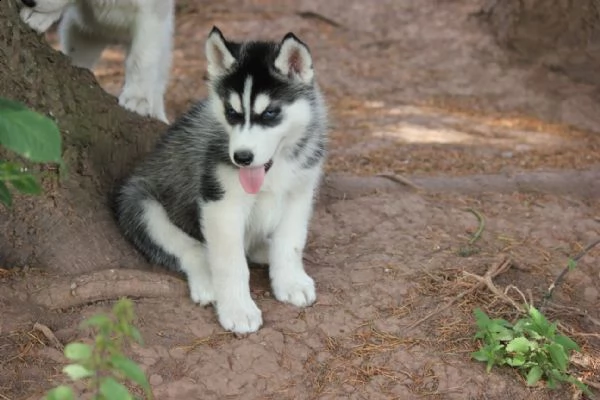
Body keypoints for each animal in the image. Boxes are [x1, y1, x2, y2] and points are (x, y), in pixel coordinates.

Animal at [18, 0, 172, 122]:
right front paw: (39, 16)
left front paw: (137, 97)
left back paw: (158, 113)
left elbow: (141, 58)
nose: (27, 1)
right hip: (83, 34)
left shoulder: (152, 14)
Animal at [112, 27, 328, 334]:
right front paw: (238, 309)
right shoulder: (221, 204)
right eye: (232, 113)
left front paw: (291, 281)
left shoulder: (300, 192)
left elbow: (292, 241)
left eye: (270, 113)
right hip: (140, 204)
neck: (274, 170)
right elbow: (230, 263)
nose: (242, 157)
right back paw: (208, 282)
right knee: (192, 250)